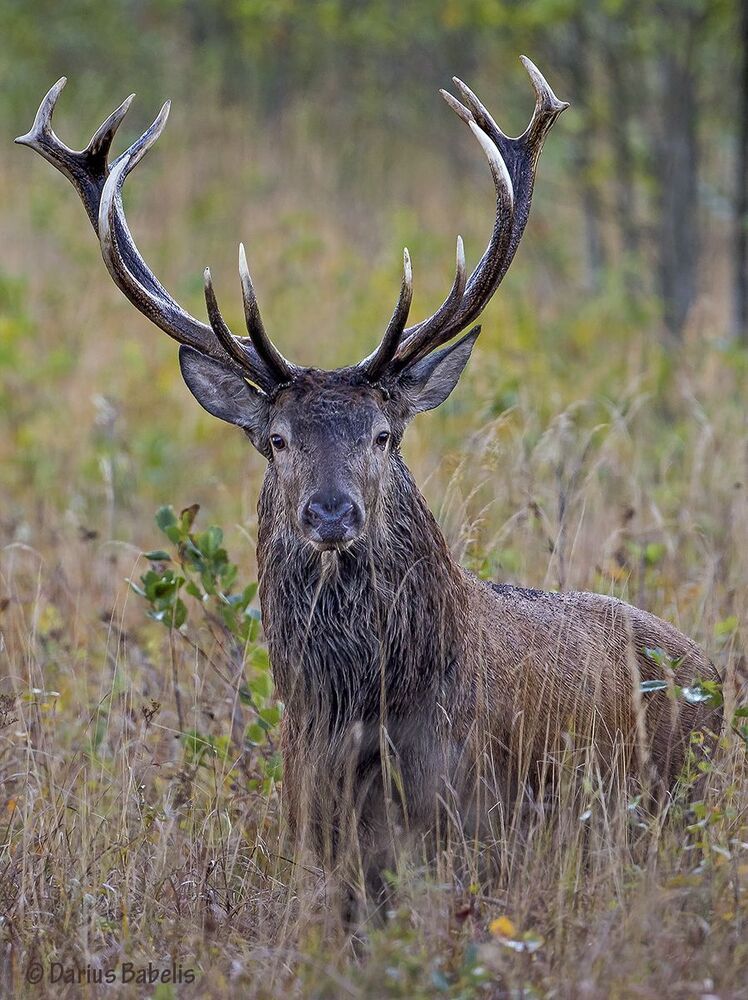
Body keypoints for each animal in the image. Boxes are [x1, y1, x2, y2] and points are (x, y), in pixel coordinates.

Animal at [18, 59, 722, 918]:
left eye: (383, 435)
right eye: (277, 440)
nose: (330, 512)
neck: (352, 718)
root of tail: (718, 677)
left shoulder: (475, 834)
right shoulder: (318, 844)